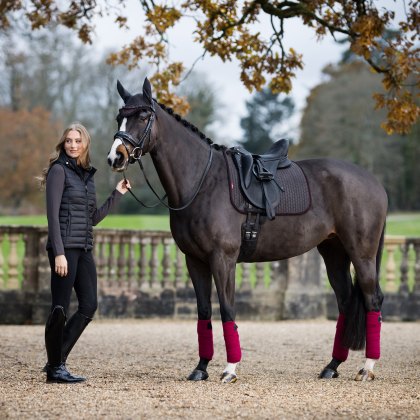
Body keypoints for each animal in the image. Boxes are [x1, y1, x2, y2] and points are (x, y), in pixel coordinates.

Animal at [107, 78, 388, 384]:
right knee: (346, 303)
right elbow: (204, 312)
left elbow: (227, 309)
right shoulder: (194, 261)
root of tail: (375, 182)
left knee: (372, 300)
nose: (116, 157)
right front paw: (201, 367)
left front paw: (230, 369)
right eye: (120, 117)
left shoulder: (223, 259)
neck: (203, 182)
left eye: (143, 116)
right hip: (334, 253)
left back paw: (367, 368)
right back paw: (332, 365)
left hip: (361, 254)